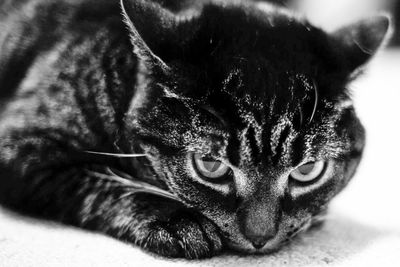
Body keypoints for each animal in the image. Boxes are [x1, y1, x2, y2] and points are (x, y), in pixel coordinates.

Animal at [0, 0, 390, 260]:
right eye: (211, 166)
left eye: (308, 171)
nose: (260, 237)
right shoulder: (21, 146)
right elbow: (98, 183)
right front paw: (176, 222)